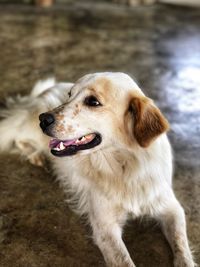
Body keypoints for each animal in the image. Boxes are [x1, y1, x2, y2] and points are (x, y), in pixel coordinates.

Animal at [0, 72, 195, 266]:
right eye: (70, 95)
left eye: (93, 102)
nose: (43, 119)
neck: (124, 166)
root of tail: (40, 94)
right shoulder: (105, 228)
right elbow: (125, 261)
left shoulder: (171, 208)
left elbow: (182, 247)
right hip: (33, 133)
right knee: (17, 137)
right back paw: (35, 155)